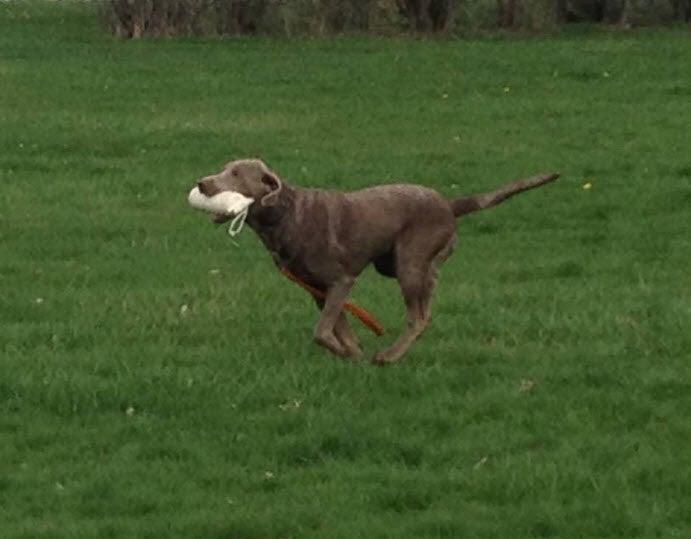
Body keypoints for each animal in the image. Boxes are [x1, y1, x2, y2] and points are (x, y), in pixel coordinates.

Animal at [196, 158, 564, 364]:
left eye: (236, 173)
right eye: (223, 168)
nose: (201, 182)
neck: (284, 216)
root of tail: (449, 204)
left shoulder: (341, 281)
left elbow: (322, 331)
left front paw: (353, 356)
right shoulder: (318, 291)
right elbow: (338, 329)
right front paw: (353, 354)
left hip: (409, 262)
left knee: (418, 317)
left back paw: (388, 357)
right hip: (399, 264)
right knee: (427, 304)